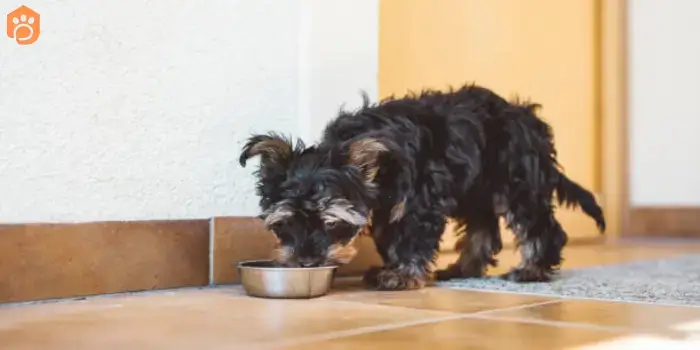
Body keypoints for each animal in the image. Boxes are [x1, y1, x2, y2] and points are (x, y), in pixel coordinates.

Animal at [239, 83, 600, 292]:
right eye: (285, 224)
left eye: (330, 223)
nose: (307, 262)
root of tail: (530, 120)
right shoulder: (386, 208)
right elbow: (390, 238)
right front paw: (391, 268)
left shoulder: (419, 202)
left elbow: (412, 238)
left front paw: (402, 274)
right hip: (477, 189)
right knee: (483, 229)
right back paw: (462, 268)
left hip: (517, 181)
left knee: (539, 226)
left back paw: (531, 269)